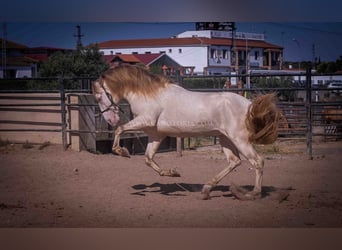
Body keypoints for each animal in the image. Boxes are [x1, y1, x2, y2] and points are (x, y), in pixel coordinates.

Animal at [92, 65, 280, 200]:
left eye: (99, 97)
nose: (110, 120)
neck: (149, 94)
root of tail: (248, 105)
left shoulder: (145, 120)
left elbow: (120, 130)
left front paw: (122, 151)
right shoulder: (155, 134)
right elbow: (148, 158)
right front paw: (171, 173)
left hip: (240, 139)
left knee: (257, 161)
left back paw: (252, 194)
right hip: (225, 138)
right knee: (234, 162)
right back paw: (206, 190)